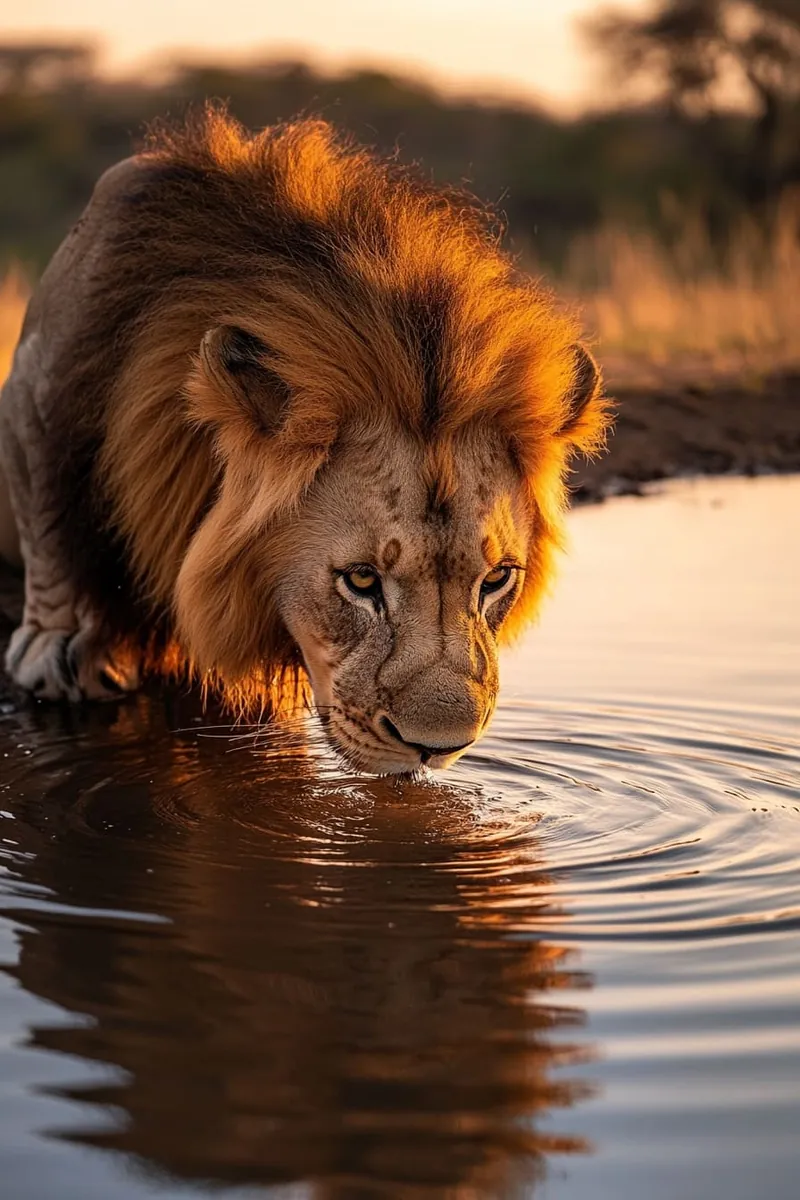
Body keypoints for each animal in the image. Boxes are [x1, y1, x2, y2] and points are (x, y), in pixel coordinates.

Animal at [0, 109, 609, 774]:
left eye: (496, 578)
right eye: (361, 580)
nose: (439, 748)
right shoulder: (32, 386)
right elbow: (45, 513)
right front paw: (55, 647)